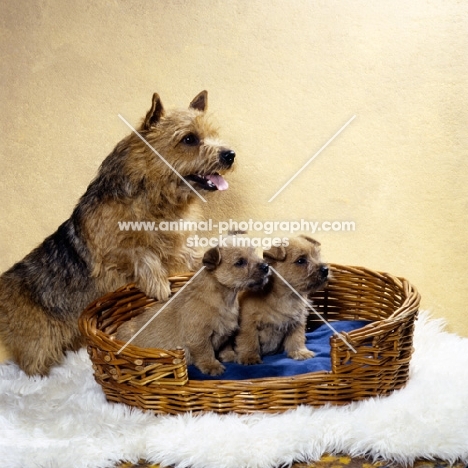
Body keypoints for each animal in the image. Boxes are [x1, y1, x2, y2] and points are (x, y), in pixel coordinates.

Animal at [0, 90, 234, 376]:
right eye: (189, 139)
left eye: (213, 134)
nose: (230, 155)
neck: (157, 199)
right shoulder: (107, 254)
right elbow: (139, 251)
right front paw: (158, 284)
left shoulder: (181, 247)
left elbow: (190, 255)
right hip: (39, 341)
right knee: (32, 364)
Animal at [116, 245, 268, 376]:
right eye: (240, 262)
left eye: (254, 253)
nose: (266, 266)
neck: (225, 299)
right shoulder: (198, 337)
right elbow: (205, 352)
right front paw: (212, 366)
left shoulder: (226, 331)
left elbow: (226, 345)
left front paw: (230, 355)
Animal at [220, 236, 328, 364]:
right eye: (301, 261)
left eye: (316, 255)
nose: (326, 269)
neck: (287, 296)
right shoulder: (248, 322)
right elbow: (249, 340)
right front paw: (249, 356)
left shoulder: (297, 321)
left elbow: (297, 338)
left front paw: (299, 352)